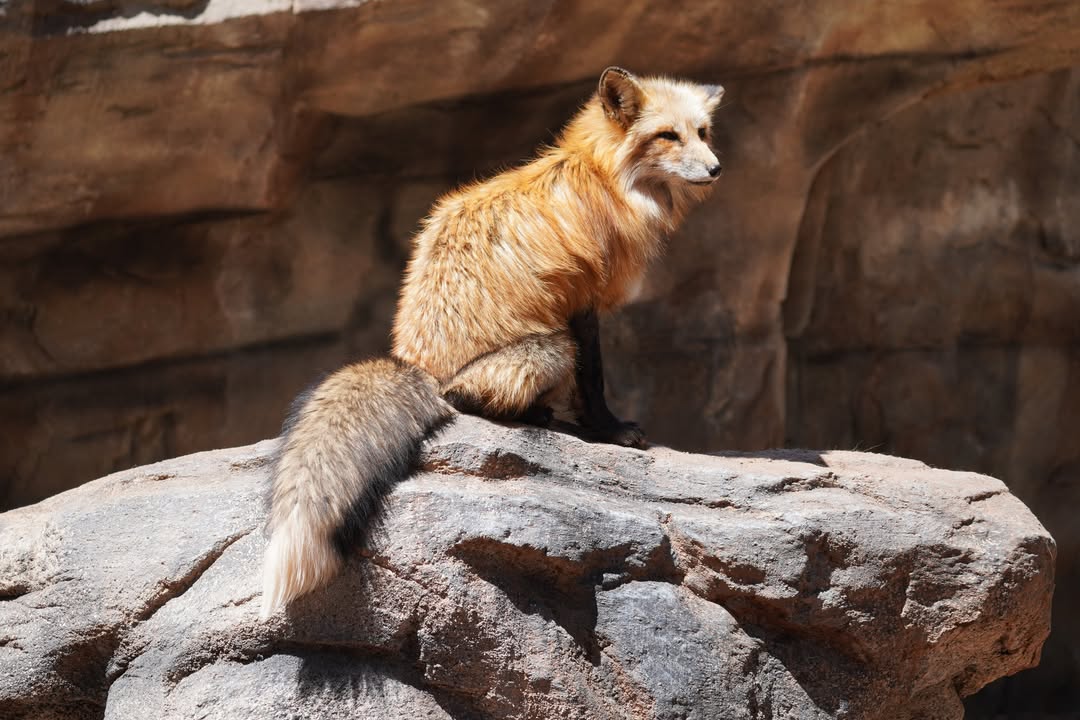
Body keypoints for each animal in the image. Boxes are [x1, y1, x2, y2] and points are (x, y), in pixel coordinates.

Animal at [261, 67, 725, 618]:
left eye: (702, 132)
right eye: (668, 136)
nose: (716, 168)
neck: (606, 181)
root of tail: (417, 368)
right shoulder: (581, 301)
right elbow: (594, 381)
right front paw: (608, 432)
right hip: (550, 347)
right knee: (468, 399)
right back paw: (533, 416)